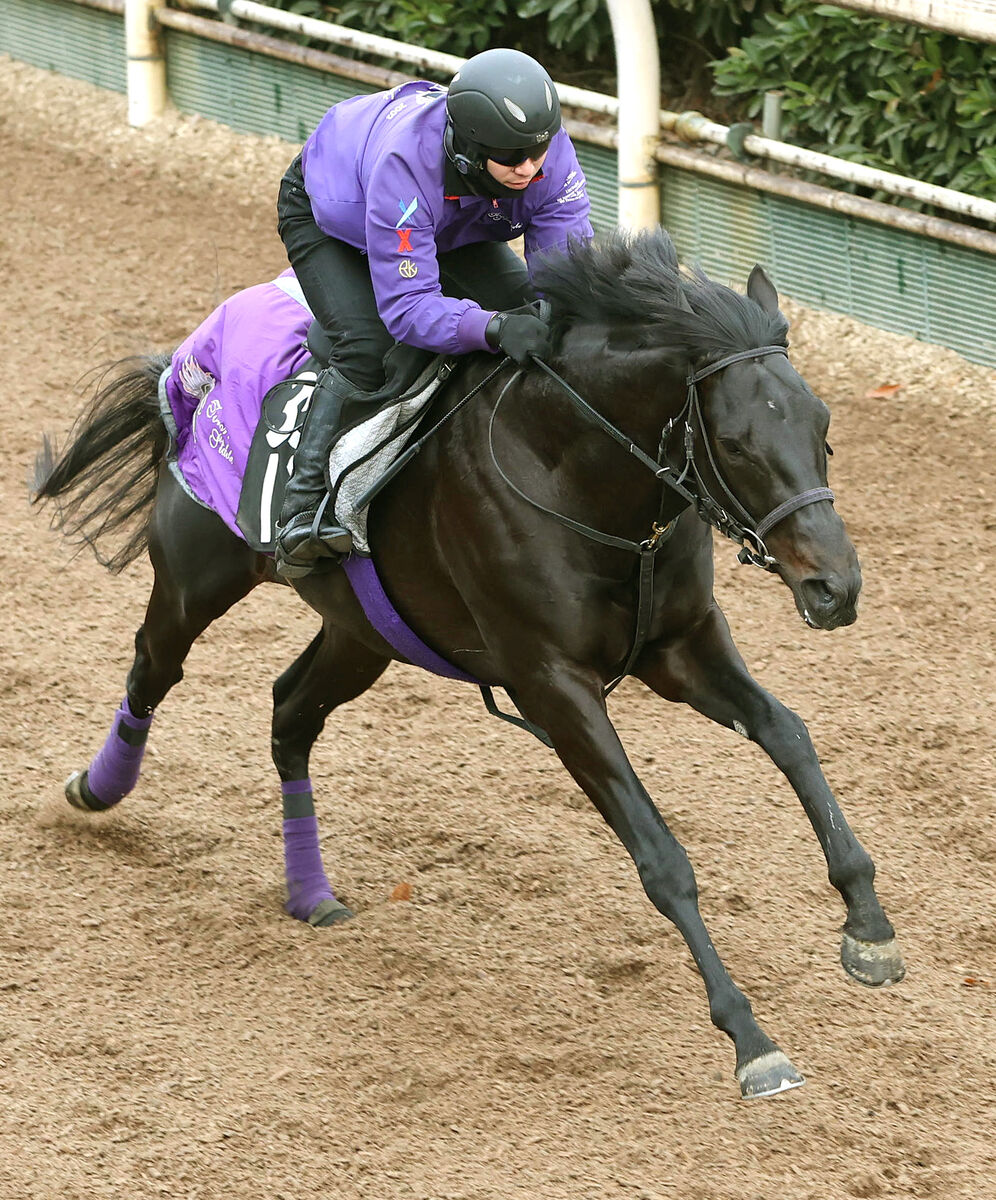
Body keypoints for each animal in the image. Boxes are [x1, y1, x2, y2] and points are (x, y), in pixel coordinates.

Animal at [33, 225, 902, 1099]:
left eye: (823, 425)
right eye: (734, 443)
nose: (835, 587)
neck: (574, 470)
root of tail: (191, 365)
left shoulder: (683, 644)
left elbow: (788, 735)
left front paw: (867, 925)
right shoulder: (551, 684)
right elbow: (661, 856)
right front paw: (751, 1038)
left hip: (365, 632)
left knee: (289, 709)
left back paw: (311, 892)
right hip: (197, 575)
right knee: (153, 669)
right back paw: (95, 788)